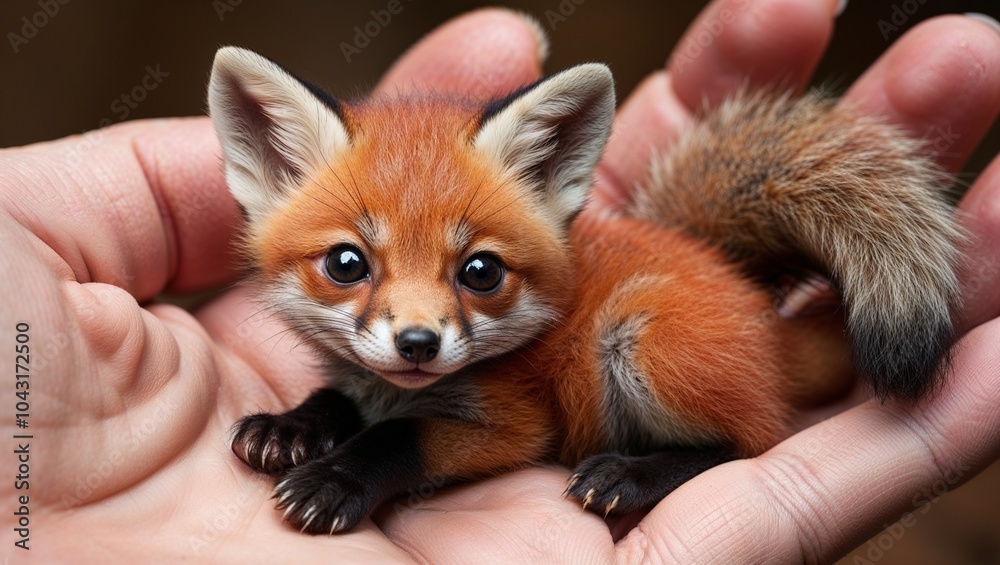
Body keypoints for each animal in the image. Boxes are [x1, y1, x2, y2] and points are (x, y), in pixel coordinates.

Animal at [208, 46, 960, 534]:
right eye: (346, 263)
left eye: (480, 272)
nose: (418, 343)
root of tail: (746, 291)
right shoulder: (366, 379)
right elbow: (339, 397)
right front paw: (291, 427)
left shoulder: (514, 423)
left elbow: (398, 438)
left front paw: (336, 479)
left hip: (639, 338)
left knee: (747, 442)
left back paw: (628, 475)